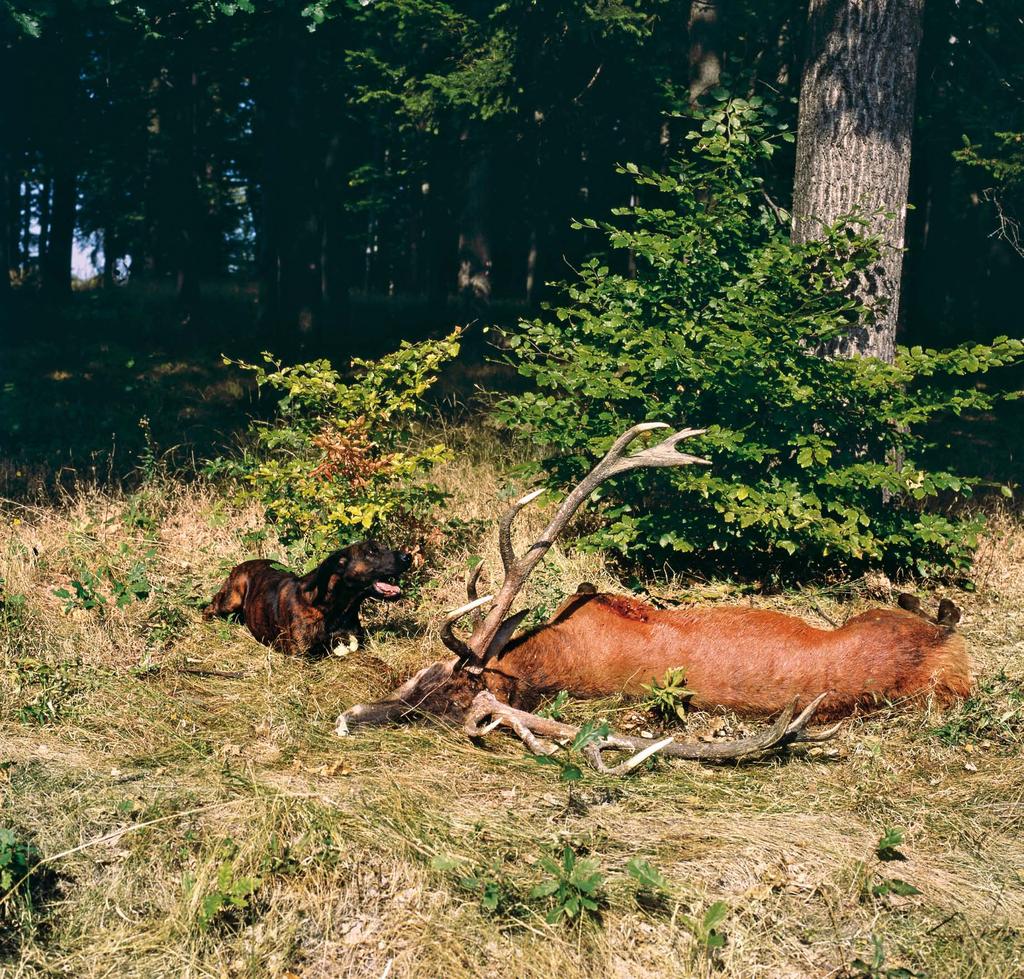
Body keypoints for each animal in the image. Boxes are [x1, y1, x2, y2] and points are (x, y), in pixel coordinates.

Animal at [203, 544, 411, 659]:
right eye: (372, 552)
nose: (408, 556)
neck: (336, 608)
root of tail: (240, 565)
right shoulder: (300, 657)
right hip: (231, 599)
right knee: (210, 606)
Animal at [333, 419, 966, 774]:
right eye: (417, 679)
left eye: (443, 699)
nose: (348, 718)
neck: (547, 652)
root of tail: (948, 657)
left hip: (876, 619)